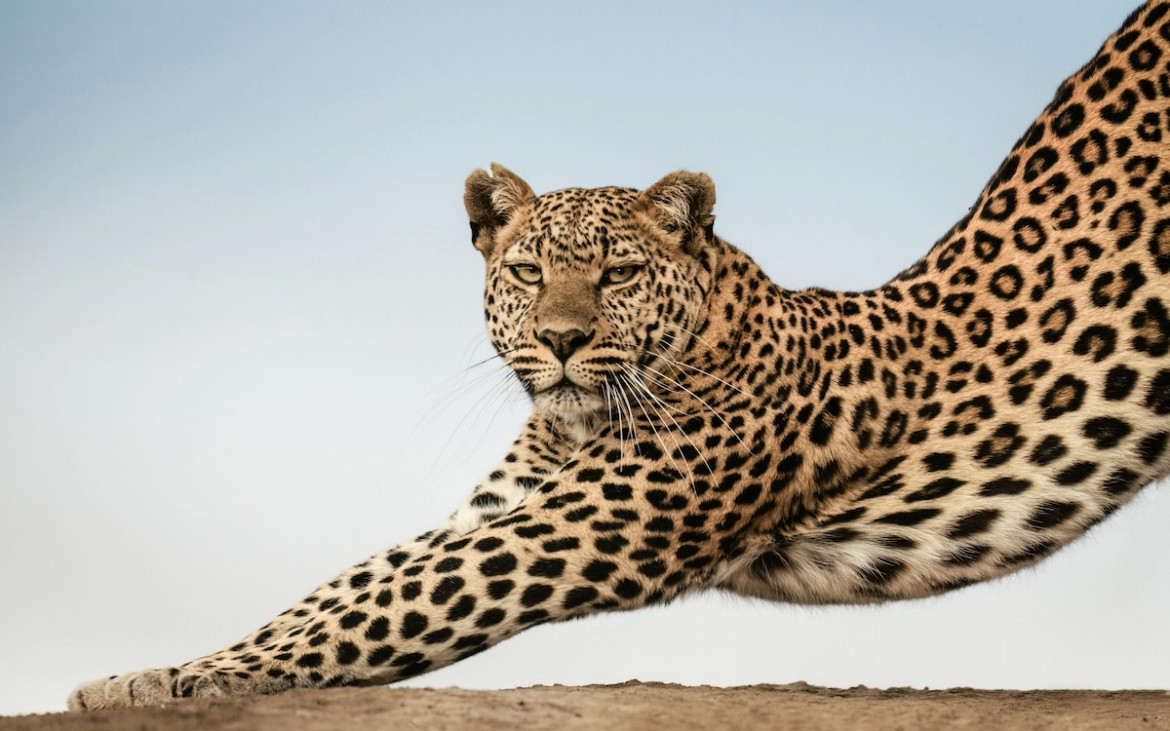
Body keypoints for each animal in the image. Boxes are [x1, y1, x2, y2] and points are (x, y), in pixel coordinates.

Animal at [70, 0, 1170, 706]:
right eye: (526, 271)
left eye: (620, 273)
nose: (561, 340)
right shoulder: (507, 503)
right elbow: (349, 585)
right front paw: (166, 665)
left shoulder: (583, 523)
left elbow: (389, 596)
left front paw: (169, 678)